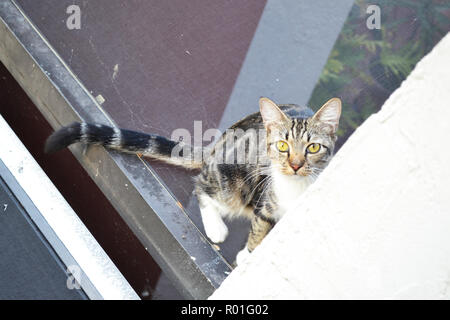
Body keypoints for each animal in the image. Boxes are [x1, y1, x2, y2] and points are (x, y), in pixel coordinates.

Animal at [45, 97, 342, 264]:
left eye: (313, 148)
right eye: (282, 146)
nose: (295, 165)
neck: (296, 189)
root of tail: (217, 144)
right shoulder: (267, 199)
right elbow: (260, 228)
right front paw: (248, 255)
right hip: (233, 178)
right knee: (202, 186)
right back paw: (215, 227)